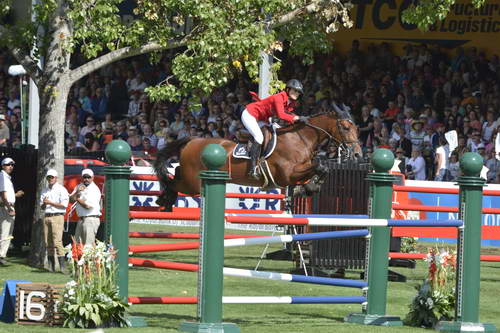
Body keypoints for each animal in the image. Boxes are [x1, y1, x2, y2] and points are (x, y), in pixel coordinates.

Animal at [154, 110, 362, 211]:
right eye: (345, 128)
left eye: (357, 129)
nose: (358, 154)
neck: (300, 138)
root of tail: (192, 140)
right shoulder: (287, 174)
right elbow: (320, 165)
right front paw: (309, 187)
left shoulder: (296, 174)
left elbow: (322, 167)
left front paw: (308, 188)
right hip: (192, 183)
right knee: (174, 181)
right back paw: (164, 199)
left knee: (175, 173)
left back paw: (165, 199)